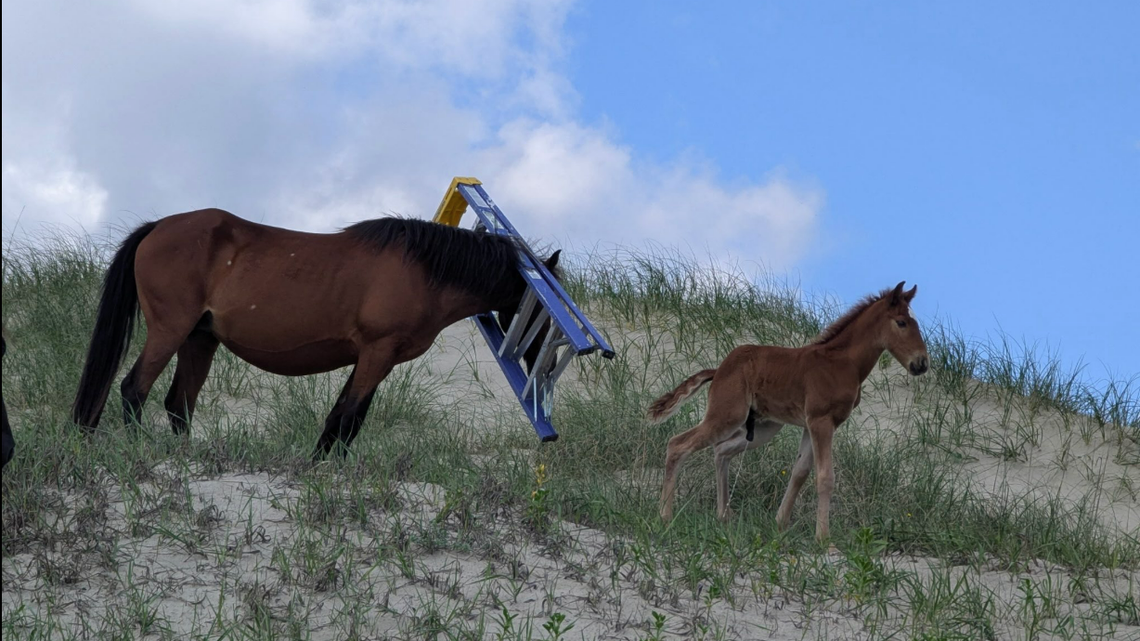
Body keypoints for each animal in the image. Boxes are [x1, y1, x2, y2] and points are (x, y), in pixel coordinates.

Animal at [71, 208, 560, 459]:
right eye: (543, 311)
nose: (543, 362)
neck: (424, 271)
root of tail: (158, 226)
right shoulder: (377, 352)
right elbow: (348, 417)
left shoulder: (372, 359)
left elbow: (344, 416)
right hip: (170, 330)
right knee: (134, 389)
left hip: (199, 338)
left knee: (178, 404)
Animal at [648, 281, 929, 542]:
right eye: (902, 323)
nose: (922, 363)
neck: (843, 362)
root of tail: (718, 370)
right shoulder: (821, 421)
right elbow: (825, 477)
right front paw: (823, 538)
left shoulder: (810, 424)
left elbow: (799, 473)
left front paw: (780, 524)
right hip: (726, 415)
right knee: (678, 444)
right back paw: (664, 516)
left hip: (764, 427)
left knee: (721, 451)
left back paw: (723, 516)